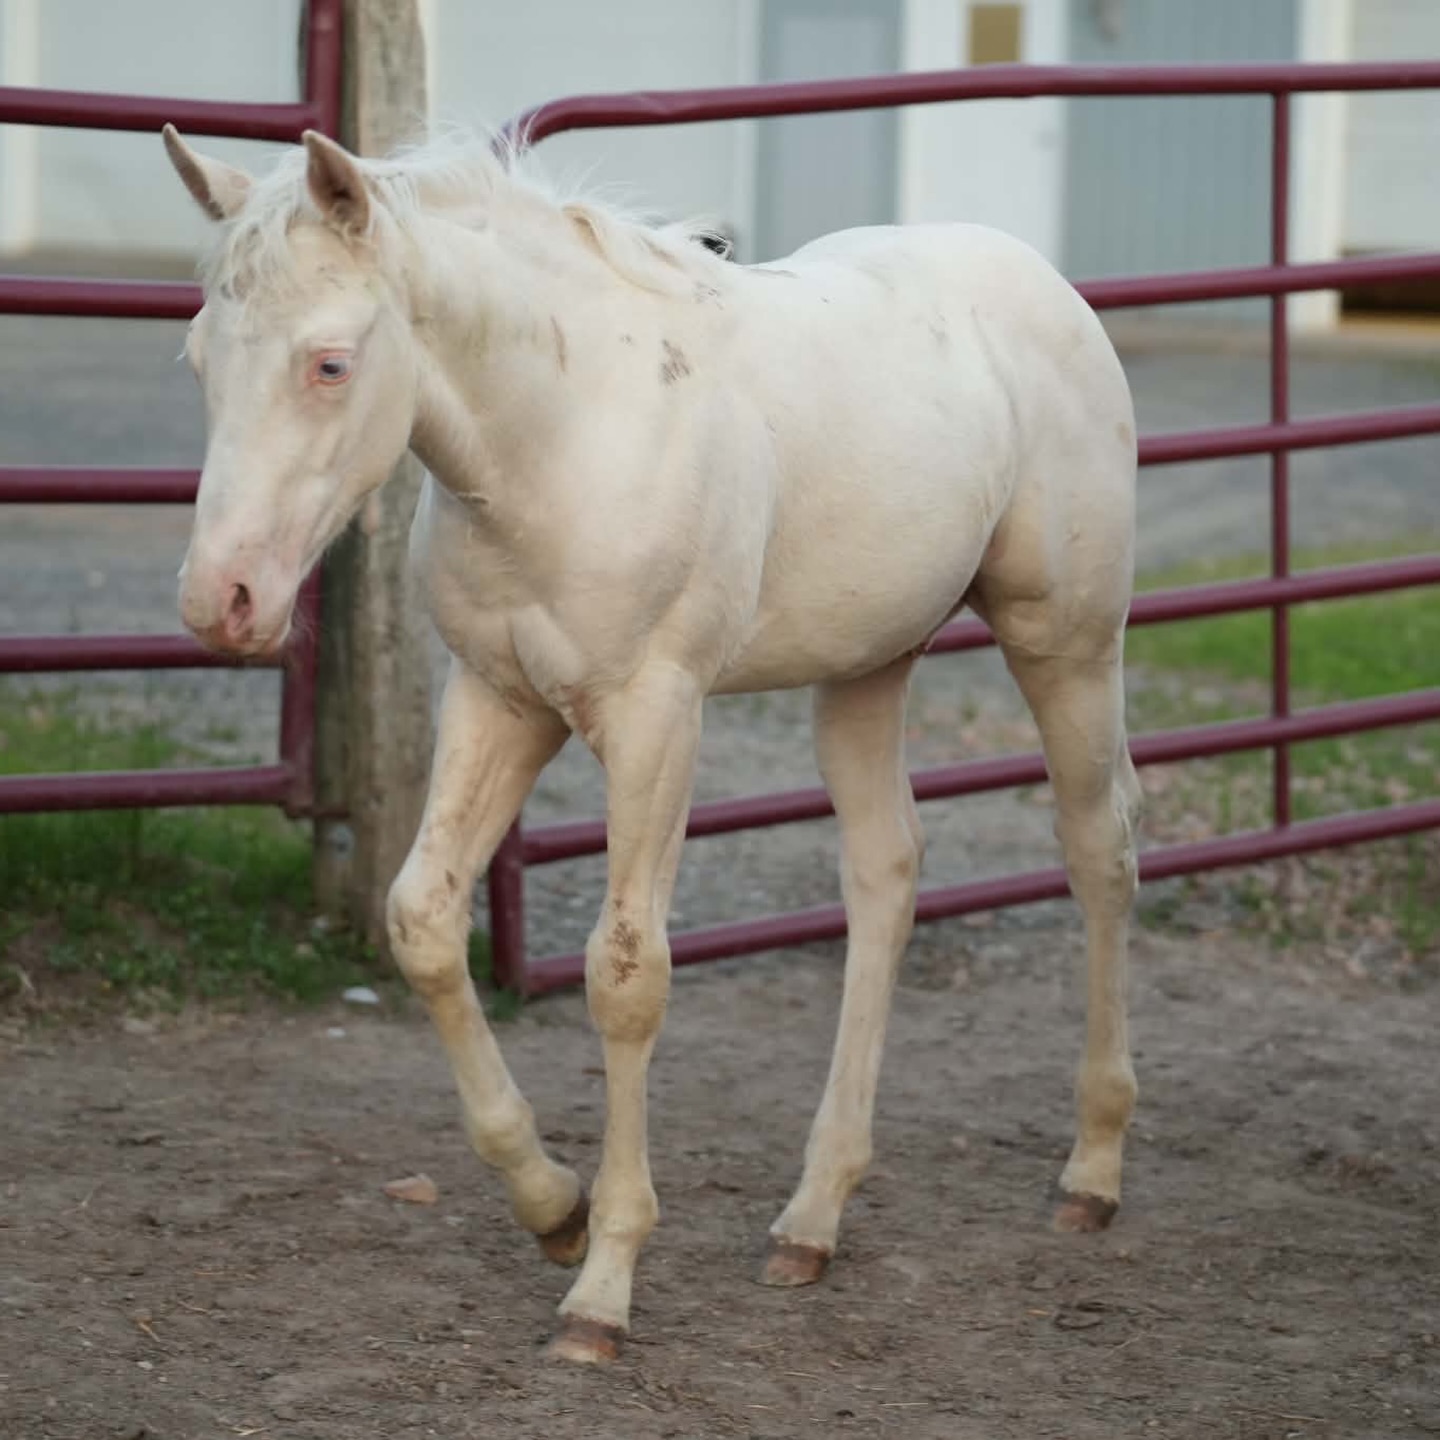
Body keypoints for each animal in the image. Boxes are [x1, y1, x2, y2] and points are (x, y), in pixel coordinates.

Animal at [161, 122, 1142, 1365]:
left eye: (330, 363)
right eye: (199, 360)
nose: (221, 602)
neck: (561, 429)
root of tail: (1045, 282)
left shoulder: (654, 716)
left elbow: (626, 975)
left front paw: (604, 1288)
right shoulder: (497, 700)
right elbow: (423, 921)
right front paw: (553, 1208)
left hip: (1067, 643)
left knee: (1099, 850)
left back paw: (1092, 1172)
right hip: (868, 664)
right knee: (886, 874)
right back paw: (812, 1218)